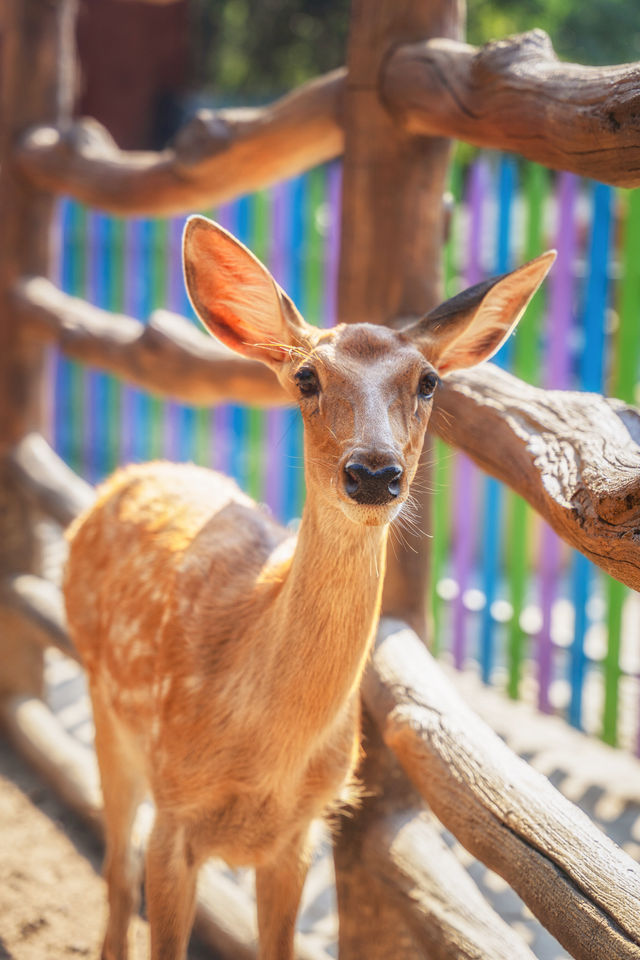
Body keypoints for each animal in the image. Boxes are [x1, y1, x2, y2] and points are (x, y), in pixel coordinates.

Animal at [63, 216, 556, 960]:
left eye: (429, 381)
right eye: (305, 376)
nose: (374, 472)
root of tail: (124, 480)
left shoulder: (300, 834)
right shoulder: (174, 810)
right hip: (105, 705)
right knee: (117, 876)